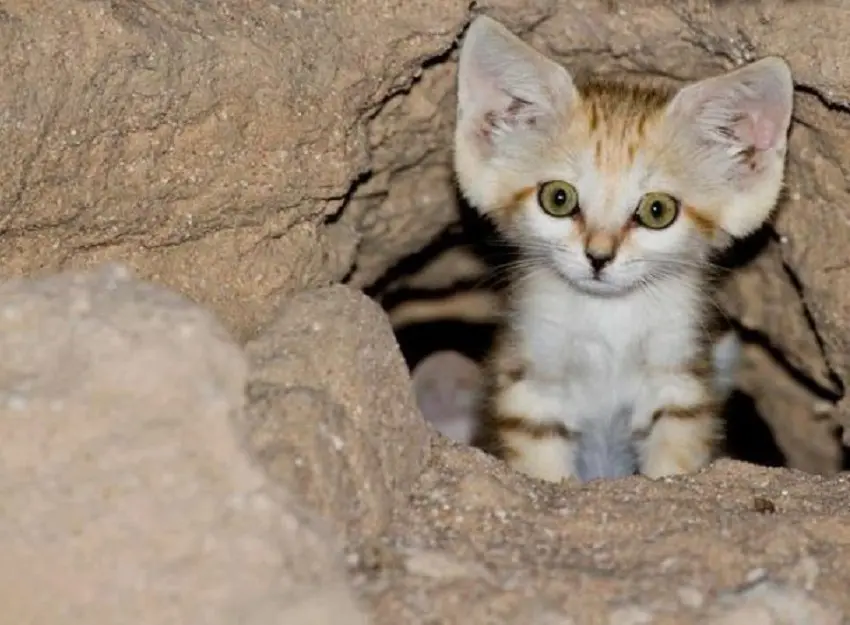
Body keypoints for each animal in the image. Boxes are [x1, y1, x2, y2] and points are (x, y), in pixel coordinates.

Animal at [454, 15, 792, 482]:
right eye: (558, 198)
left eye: (657, 210)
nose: (598, 257)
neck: (607, 318)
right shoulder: (531, 386)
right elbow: (543, 465)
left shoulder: (679, 382)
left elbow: (673, 458)